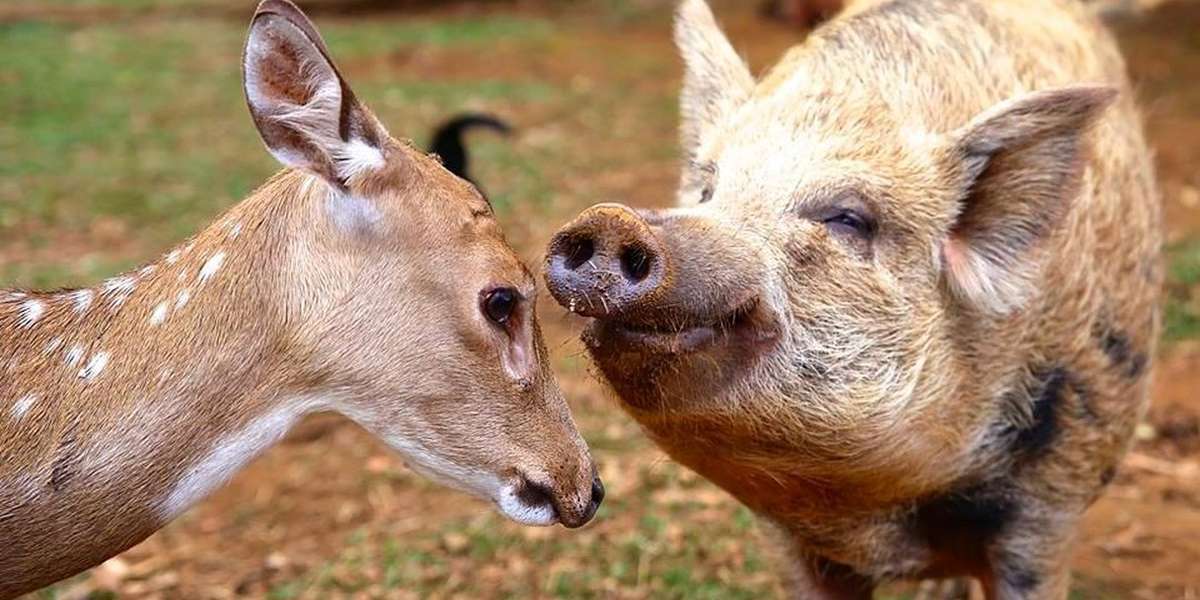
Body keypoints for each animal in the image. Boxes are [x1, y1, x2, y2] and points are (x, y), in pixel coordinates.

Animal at [543, 0, 1161, 597]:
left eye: (846, 219)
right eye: (707, 191)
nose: (612, 219)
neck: (868, 514)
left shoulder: (1051, 504)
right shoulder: (786, 539)